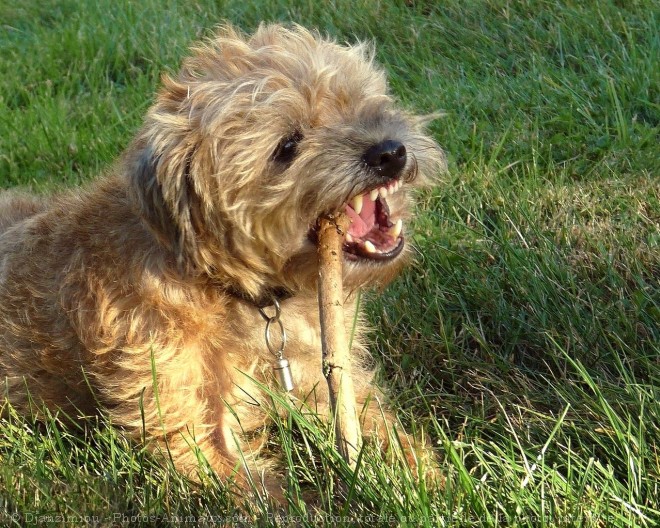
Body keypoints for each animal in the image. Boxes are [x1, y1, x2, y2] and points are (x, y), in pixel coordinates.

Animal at [0, 23, 446, 496]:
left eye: (357, 102)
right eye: (288, 145)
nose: (390, 152)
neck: (240, 292)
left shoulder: (318, 376)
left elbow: (372, 421)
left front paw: (424, 477)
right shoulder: (182, 421)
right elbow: (260, 490)